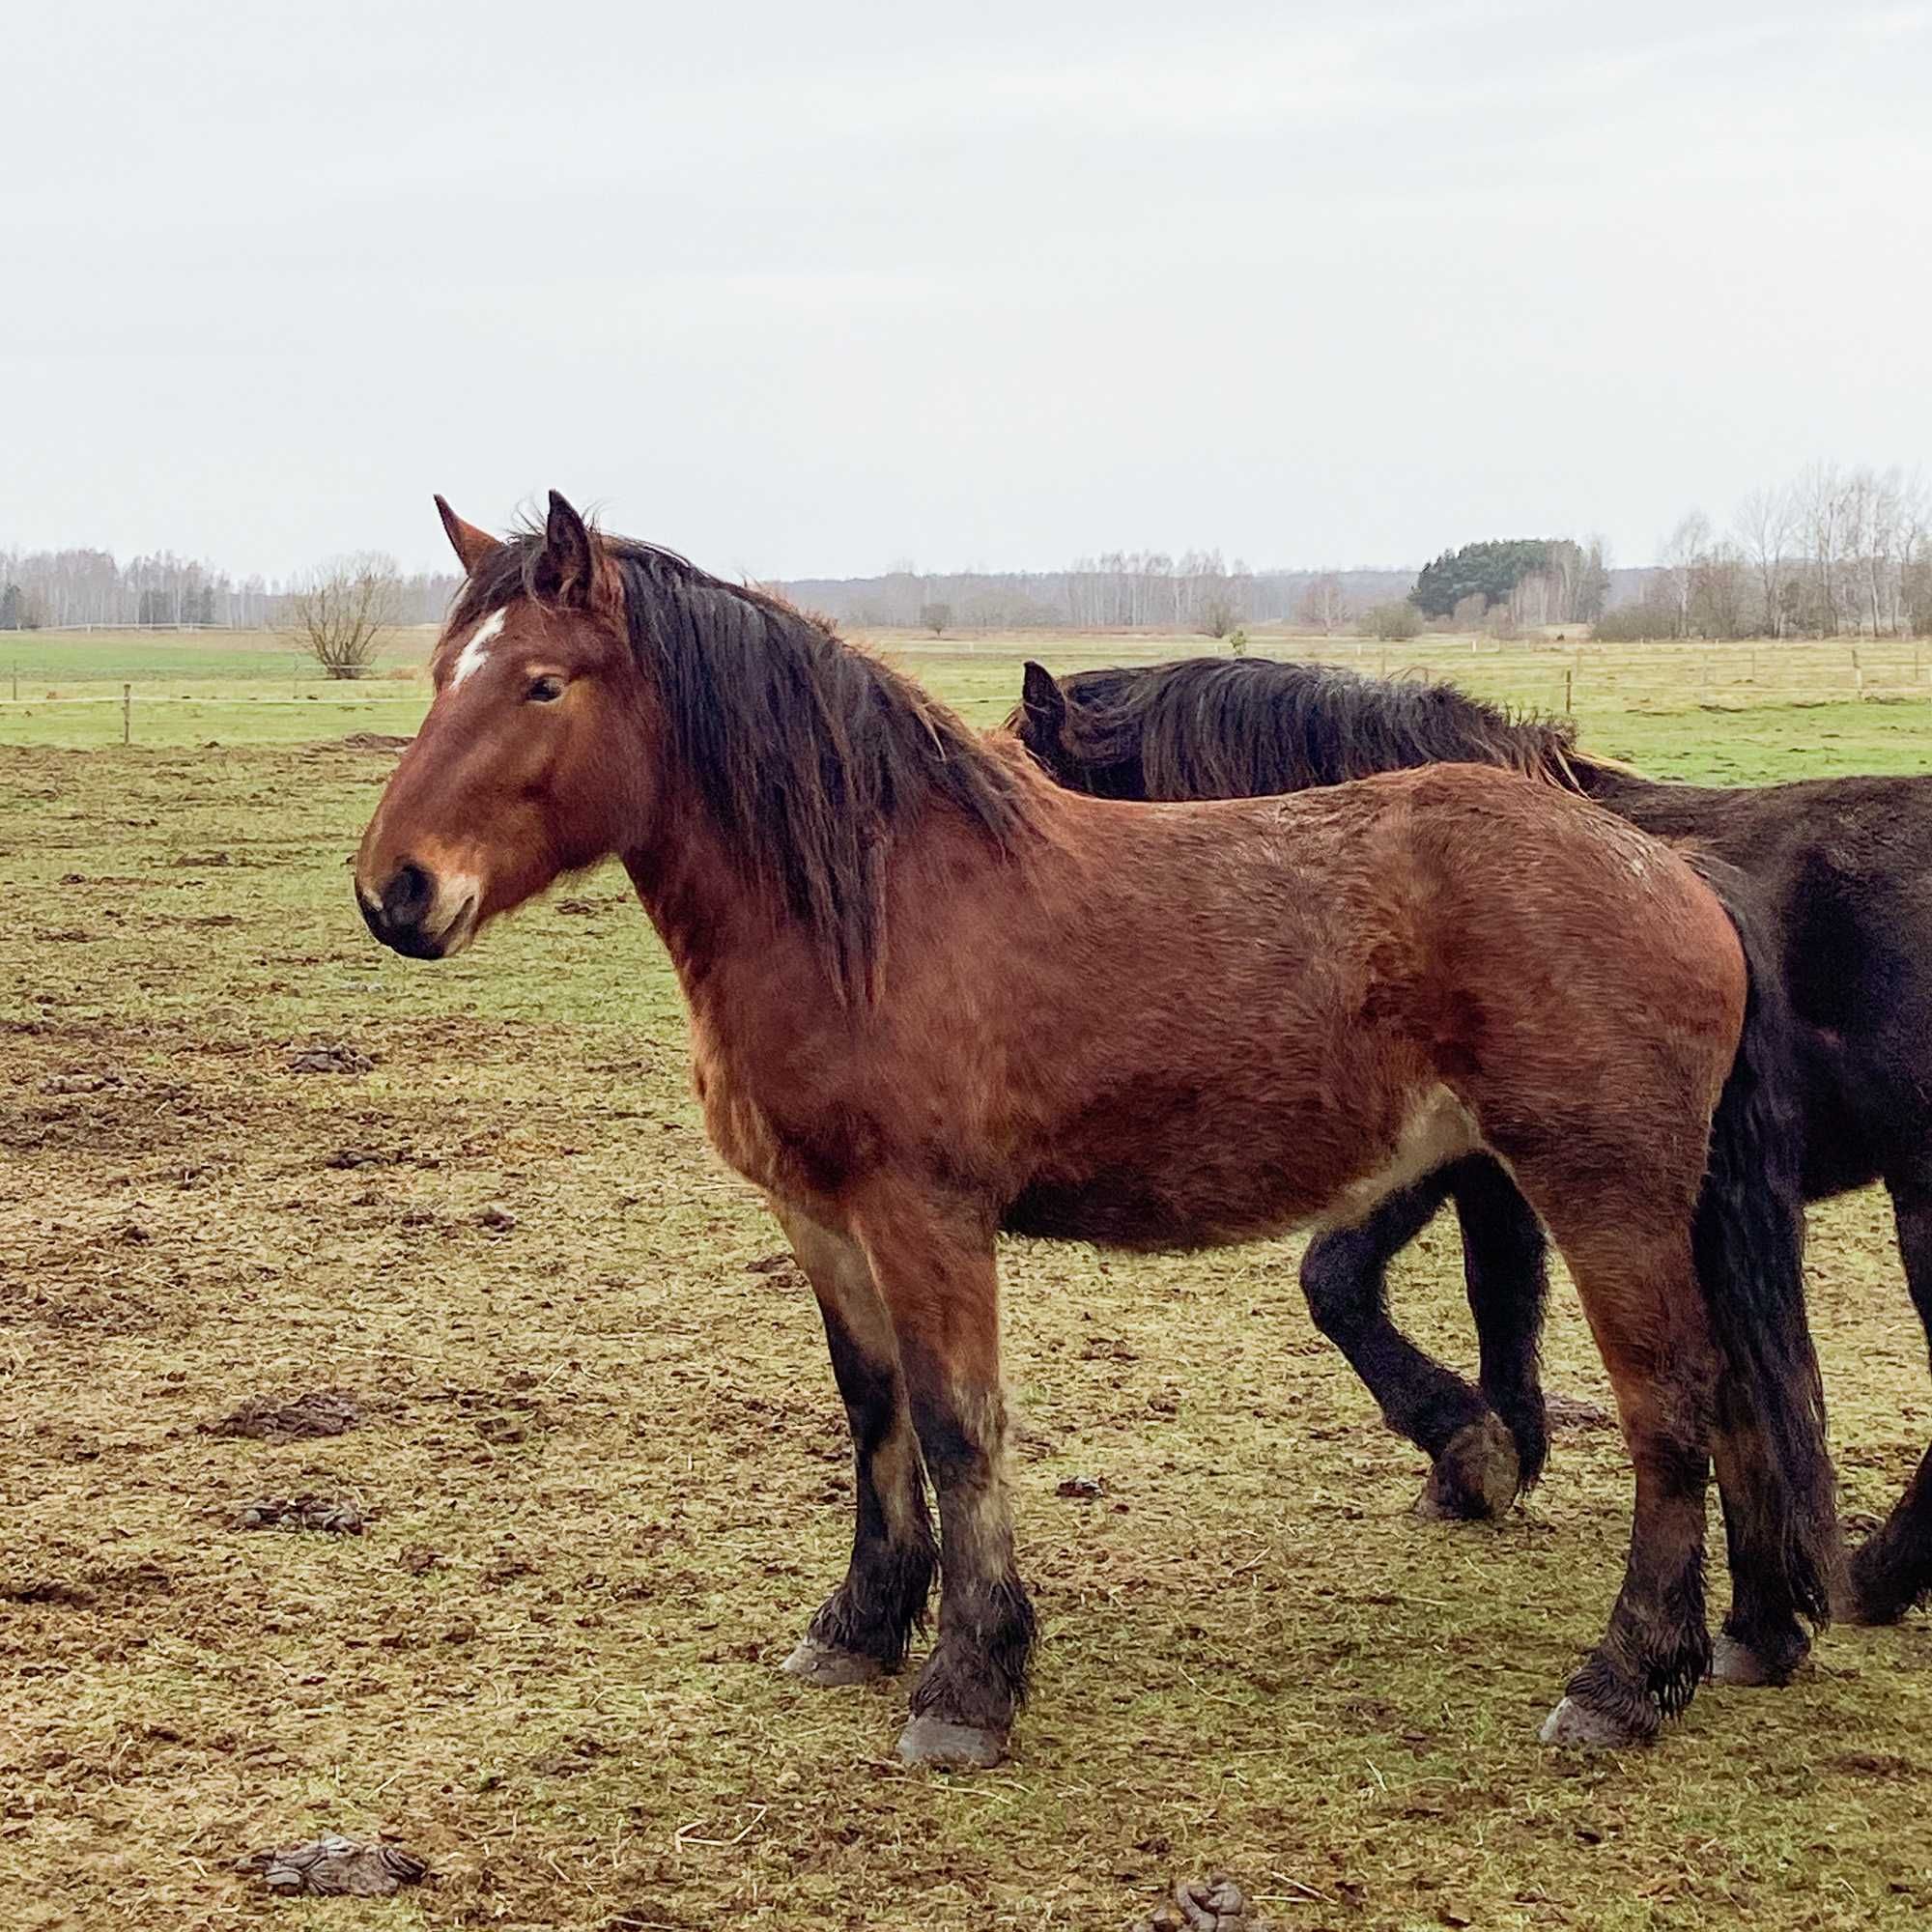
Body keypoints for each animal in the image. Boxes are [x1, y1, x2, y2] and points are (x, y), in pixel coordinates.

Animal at [355, 498, 1832, 1770]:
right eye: (439, 672)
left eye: (543, 684)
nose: (394, 891)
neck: (875, 911)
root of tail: (1669, 869)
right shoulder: (819, 1216)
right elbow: (872, 1412)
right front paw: (860, 1625)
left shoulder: (927, 1217)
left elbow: (957, 1427)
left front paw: (969, 1683)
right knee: (1731, 1395)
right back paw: (1744, 1635)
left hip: (1604, 1191)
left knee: (1669, 1406)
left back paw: (1625, 1680)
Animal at [1012, 653, 1932, 1631]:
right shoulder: (1491, 1175)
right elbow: (1501, 1296)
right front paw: (1497, 1449)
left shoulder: (1434, 1156)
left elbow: (1337, 1282)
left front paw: (1467, 1449)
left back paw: (1874, 1578)